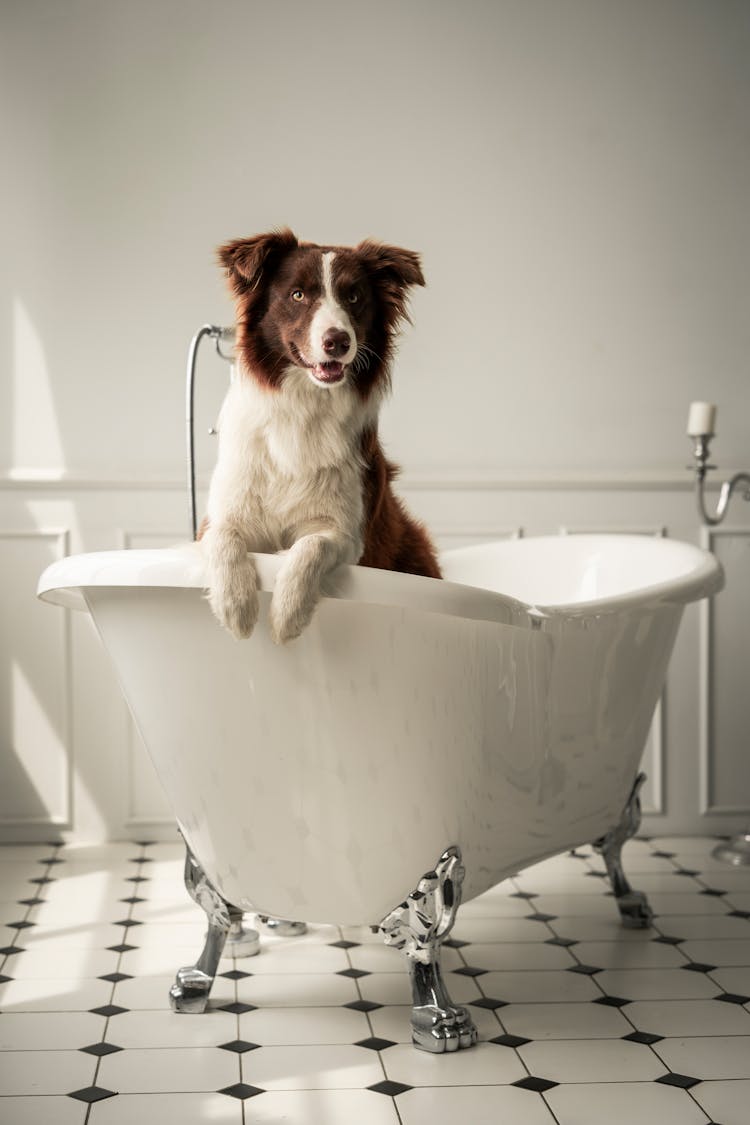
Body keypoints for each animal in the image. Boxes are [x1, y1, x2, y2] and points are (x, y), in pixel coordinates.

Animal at [202, 226, 443, 643]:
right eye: (298, 294)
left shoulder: (348, 532)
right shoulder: (224, 513)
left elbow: (311, 544)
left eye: (354, 297)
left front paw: (287, 613)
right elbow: (222, 537)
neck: (304, 406)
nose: (338, 341)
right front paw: (235, 605)